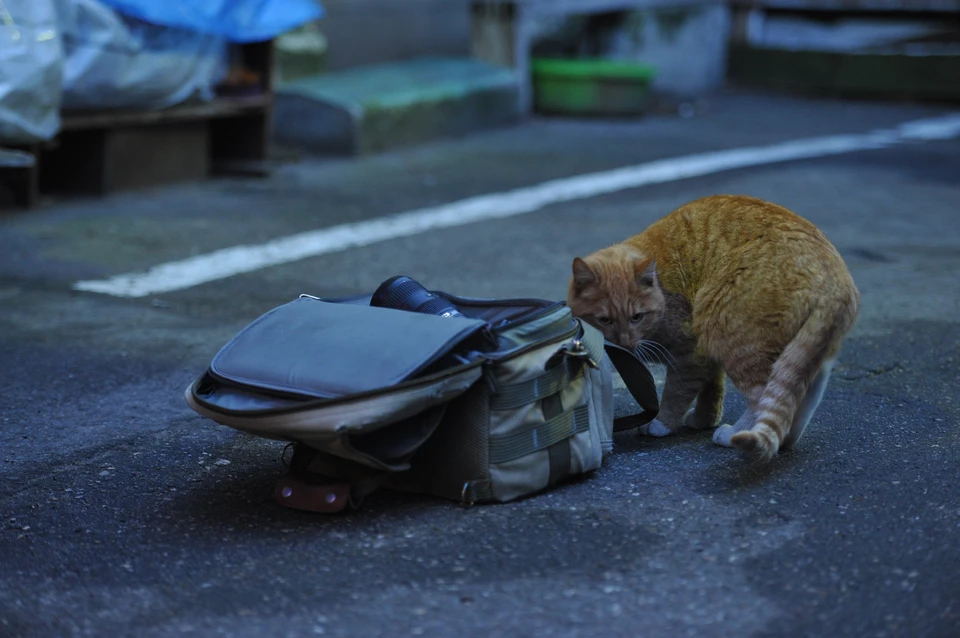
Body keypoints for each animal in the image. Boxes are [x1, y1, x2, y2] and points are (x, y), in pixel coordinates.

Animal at [568, 192, 860, 462]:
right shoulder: (708, 356)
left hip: (730, 332)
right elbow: (712, 389)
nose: (626, 343)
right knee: (796, 397)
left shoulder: (691, 353)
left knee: (762, 396)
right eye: (605, 320)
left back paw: (732, 435)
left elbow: (675, 393)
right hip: (807, 353)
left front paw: (662, 424)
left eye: (637, 317)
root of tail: (836, 278)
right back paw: (785, 438)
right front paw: (703, 420)